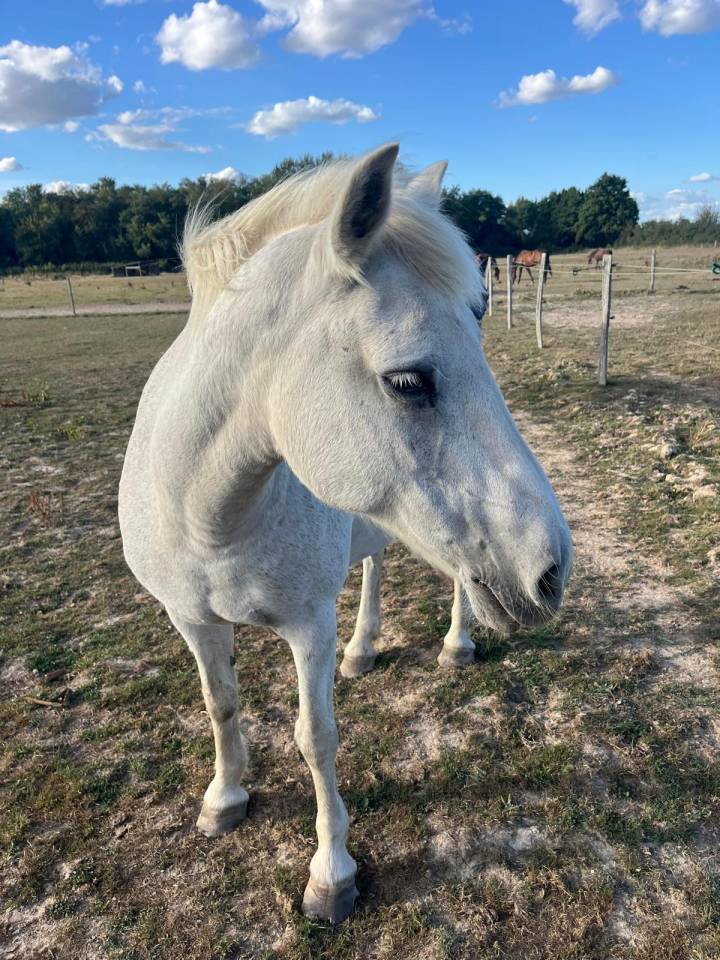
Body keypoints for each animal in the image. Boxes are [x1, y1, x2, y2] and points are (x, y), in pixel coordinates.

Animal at [118, 144, 572, 924]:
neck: (208, 517)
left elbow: (317, 739)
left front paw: (331, 874)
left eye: (479, 327)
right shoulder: (191, 619)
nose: (551, 570)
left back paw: (456, 645)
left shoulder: (308, 626)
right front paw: (224, 798)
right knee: (379, 566)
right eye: (408, 381)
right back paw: (364, 649)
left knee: (458, 579)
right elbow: (220, 704)